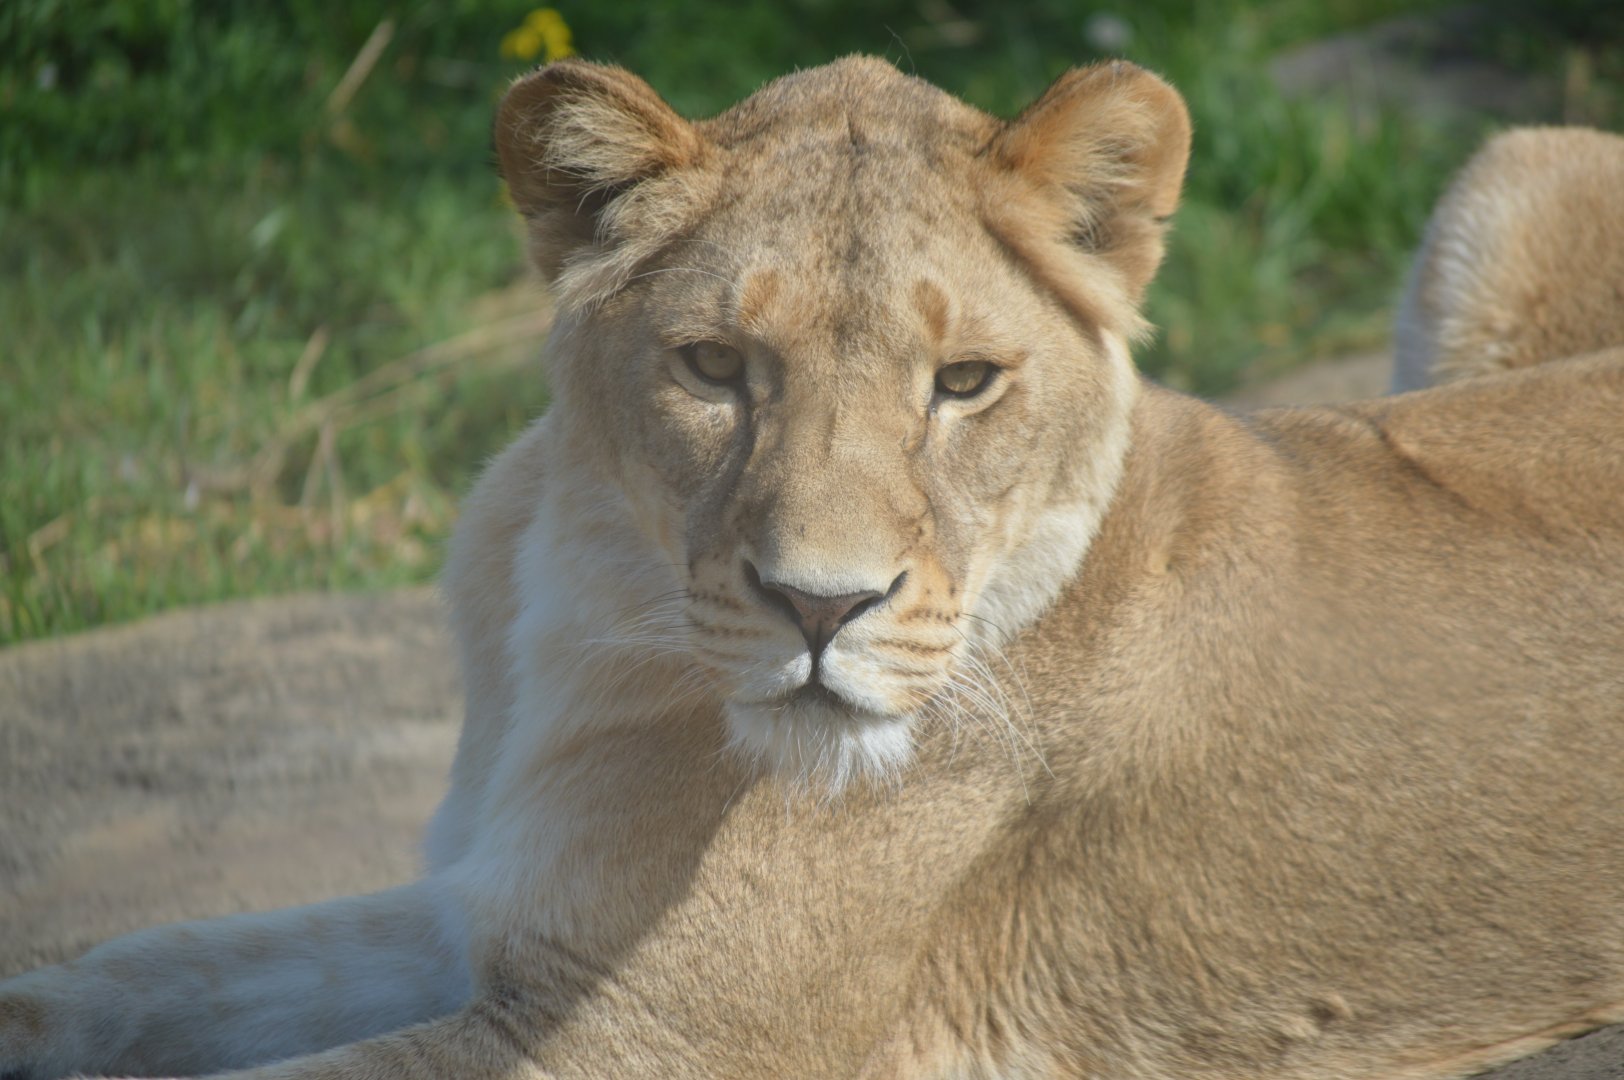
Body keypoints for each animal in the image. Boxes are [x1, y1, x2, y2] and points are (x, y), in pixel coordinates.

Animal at [2, 56, 1622, 1080]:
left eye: (963, 383)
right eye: (717, 367)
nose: (821, 607)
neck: (579, 609)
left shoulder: (648, 1038)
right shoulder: (488, 908)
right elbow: (137, 970)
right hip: (1518, 168)